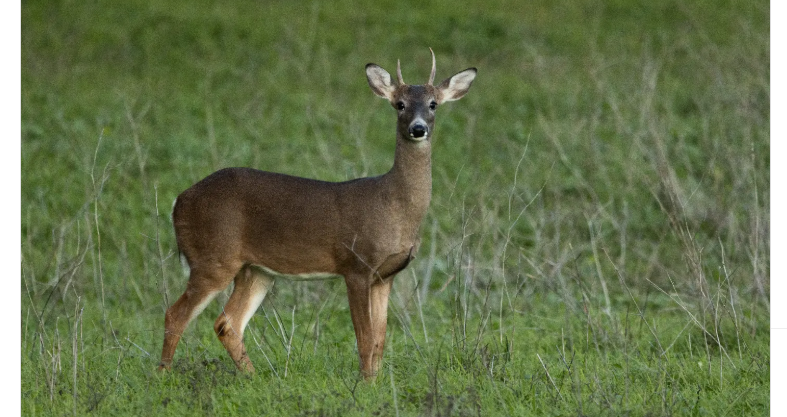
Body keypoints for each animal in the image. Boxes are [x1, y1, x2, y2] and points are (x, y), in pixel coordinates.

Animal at [158, 49, 476, 380]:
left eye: (433, 103)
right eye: (399, 104)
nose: (418, 128)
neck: (394, 207)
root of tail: (179, 201)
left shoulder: (384, 275)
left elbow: (380, 339)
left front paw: (374, 382)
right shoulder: (356, 264)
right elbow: (365, 337)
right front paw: (364, 384)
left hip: (255, 270)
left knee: (226, 323)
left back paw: (254, 377)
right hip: (213, 257)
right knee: (175, 314)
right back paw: (163, 376)